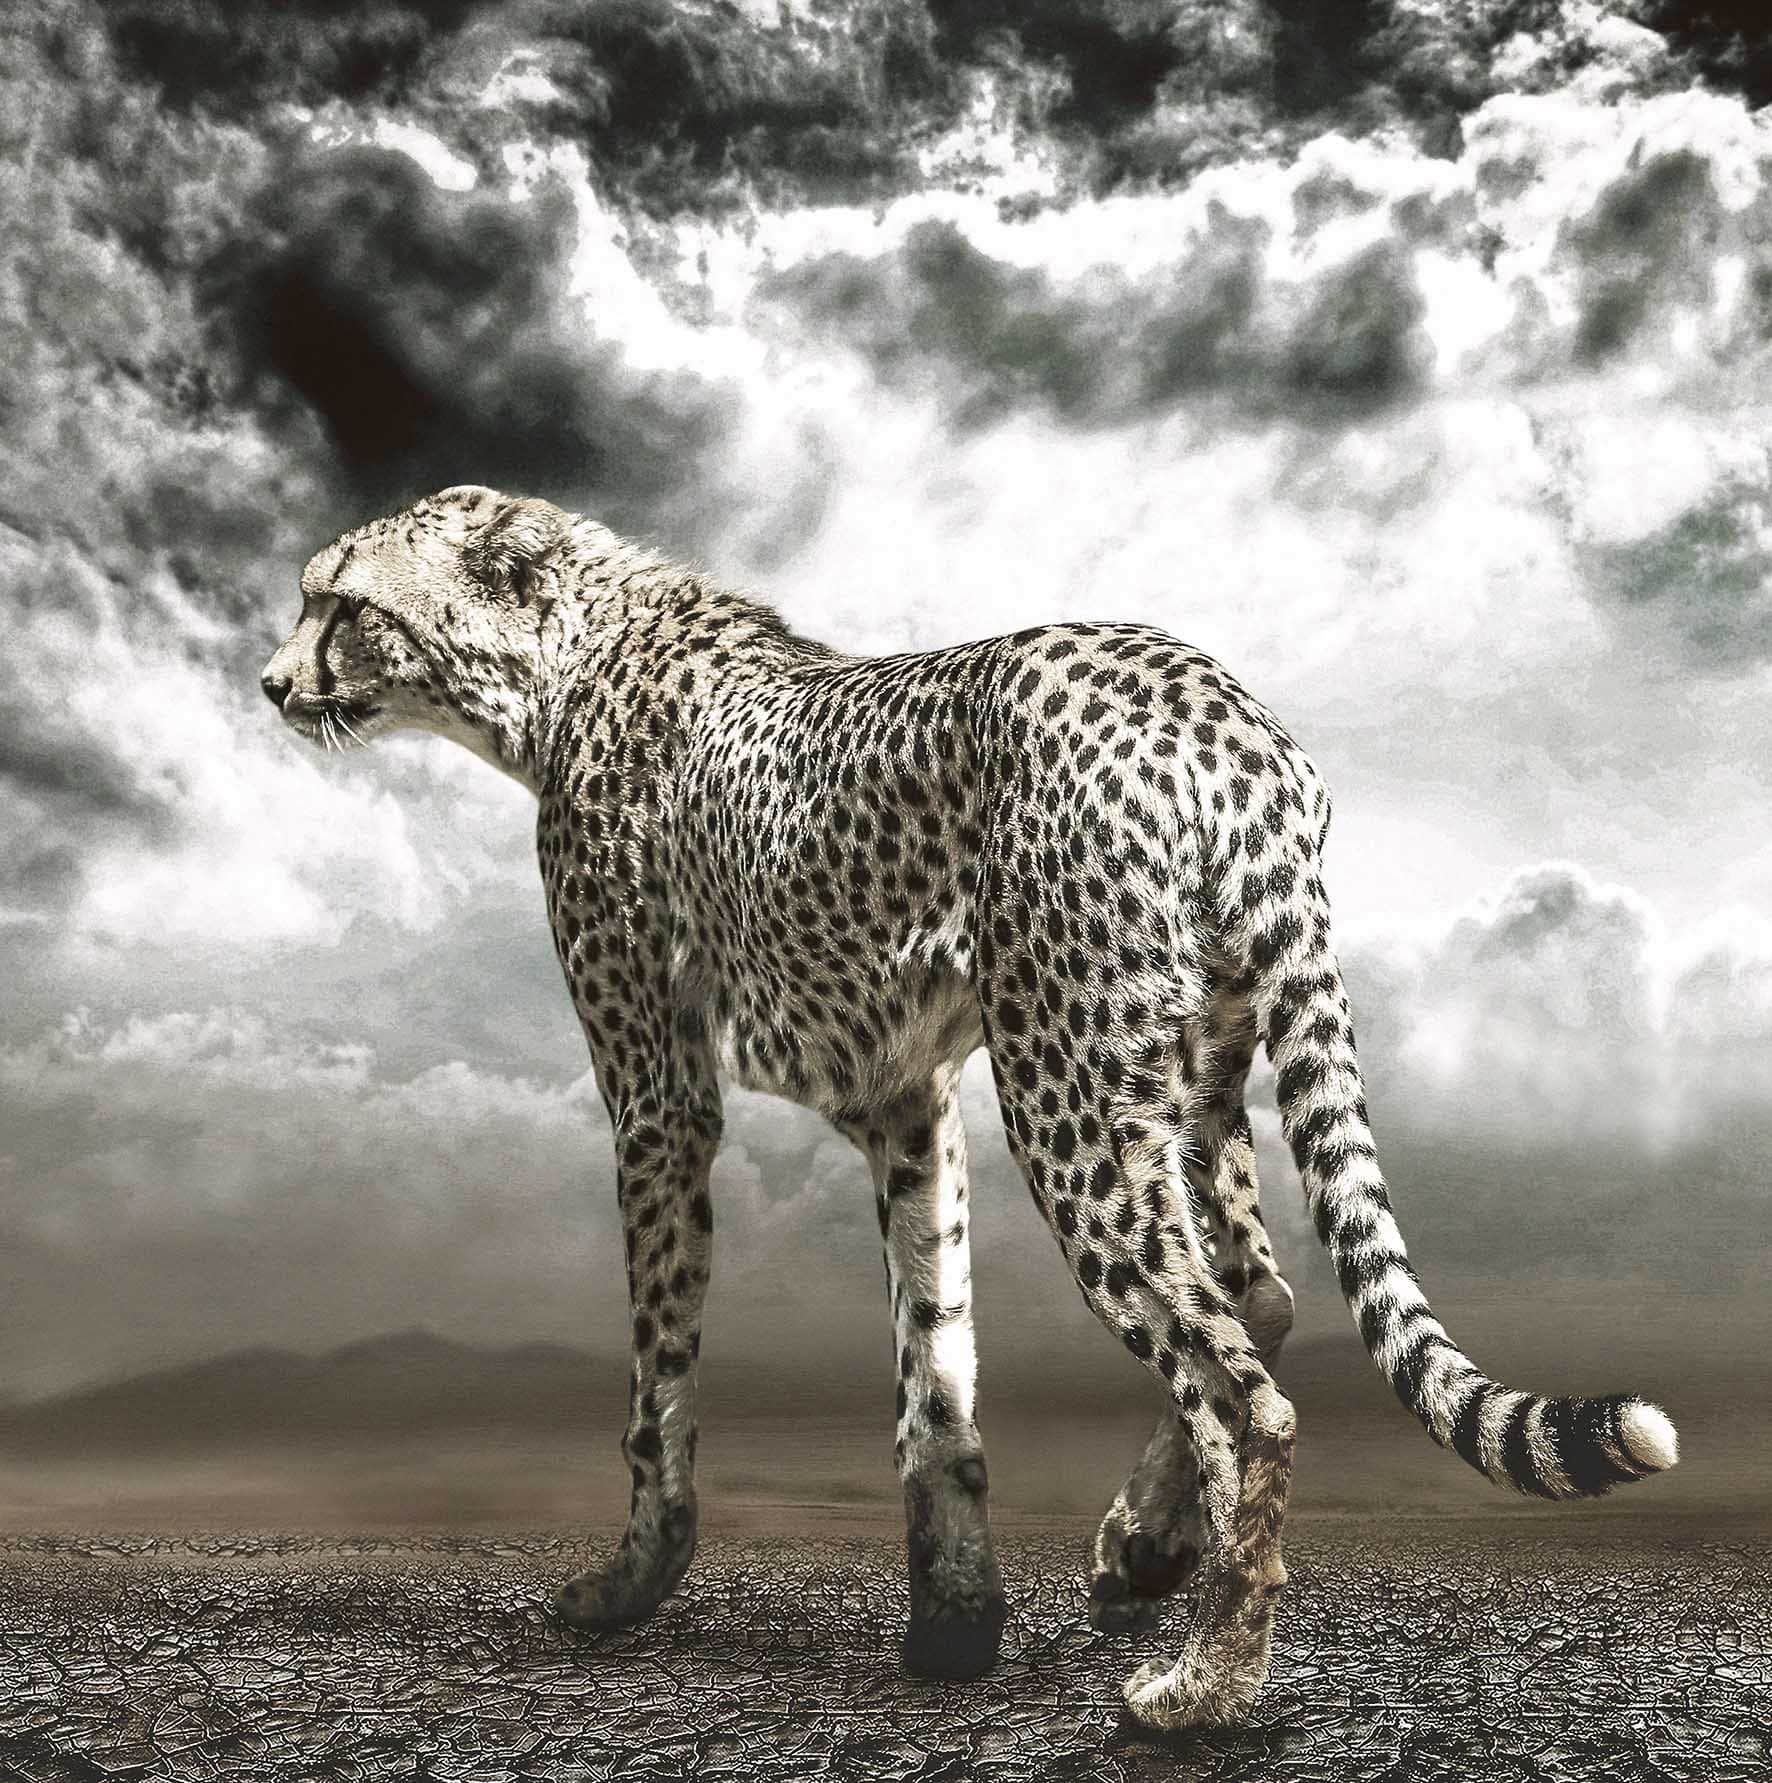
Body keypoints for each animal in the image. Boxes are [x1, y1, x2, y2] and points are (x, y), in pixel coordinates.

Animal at [261, 484, 1679, 1729]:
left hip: (1064, 1089)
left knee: (1240, 1385)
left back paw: (1202, 1687)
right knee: (1256, 1290)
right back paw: (1144, 1552)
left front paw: (628, 1584)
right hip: (1187, 1075)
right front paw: (953, 1617)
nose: (273, 683)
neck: (567, 656)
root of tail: (1225, 714)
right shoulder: (902, 1094)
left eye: (340, 604)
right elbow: (933, 1361)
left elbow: (656, 1371)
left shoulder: (660, 1096)